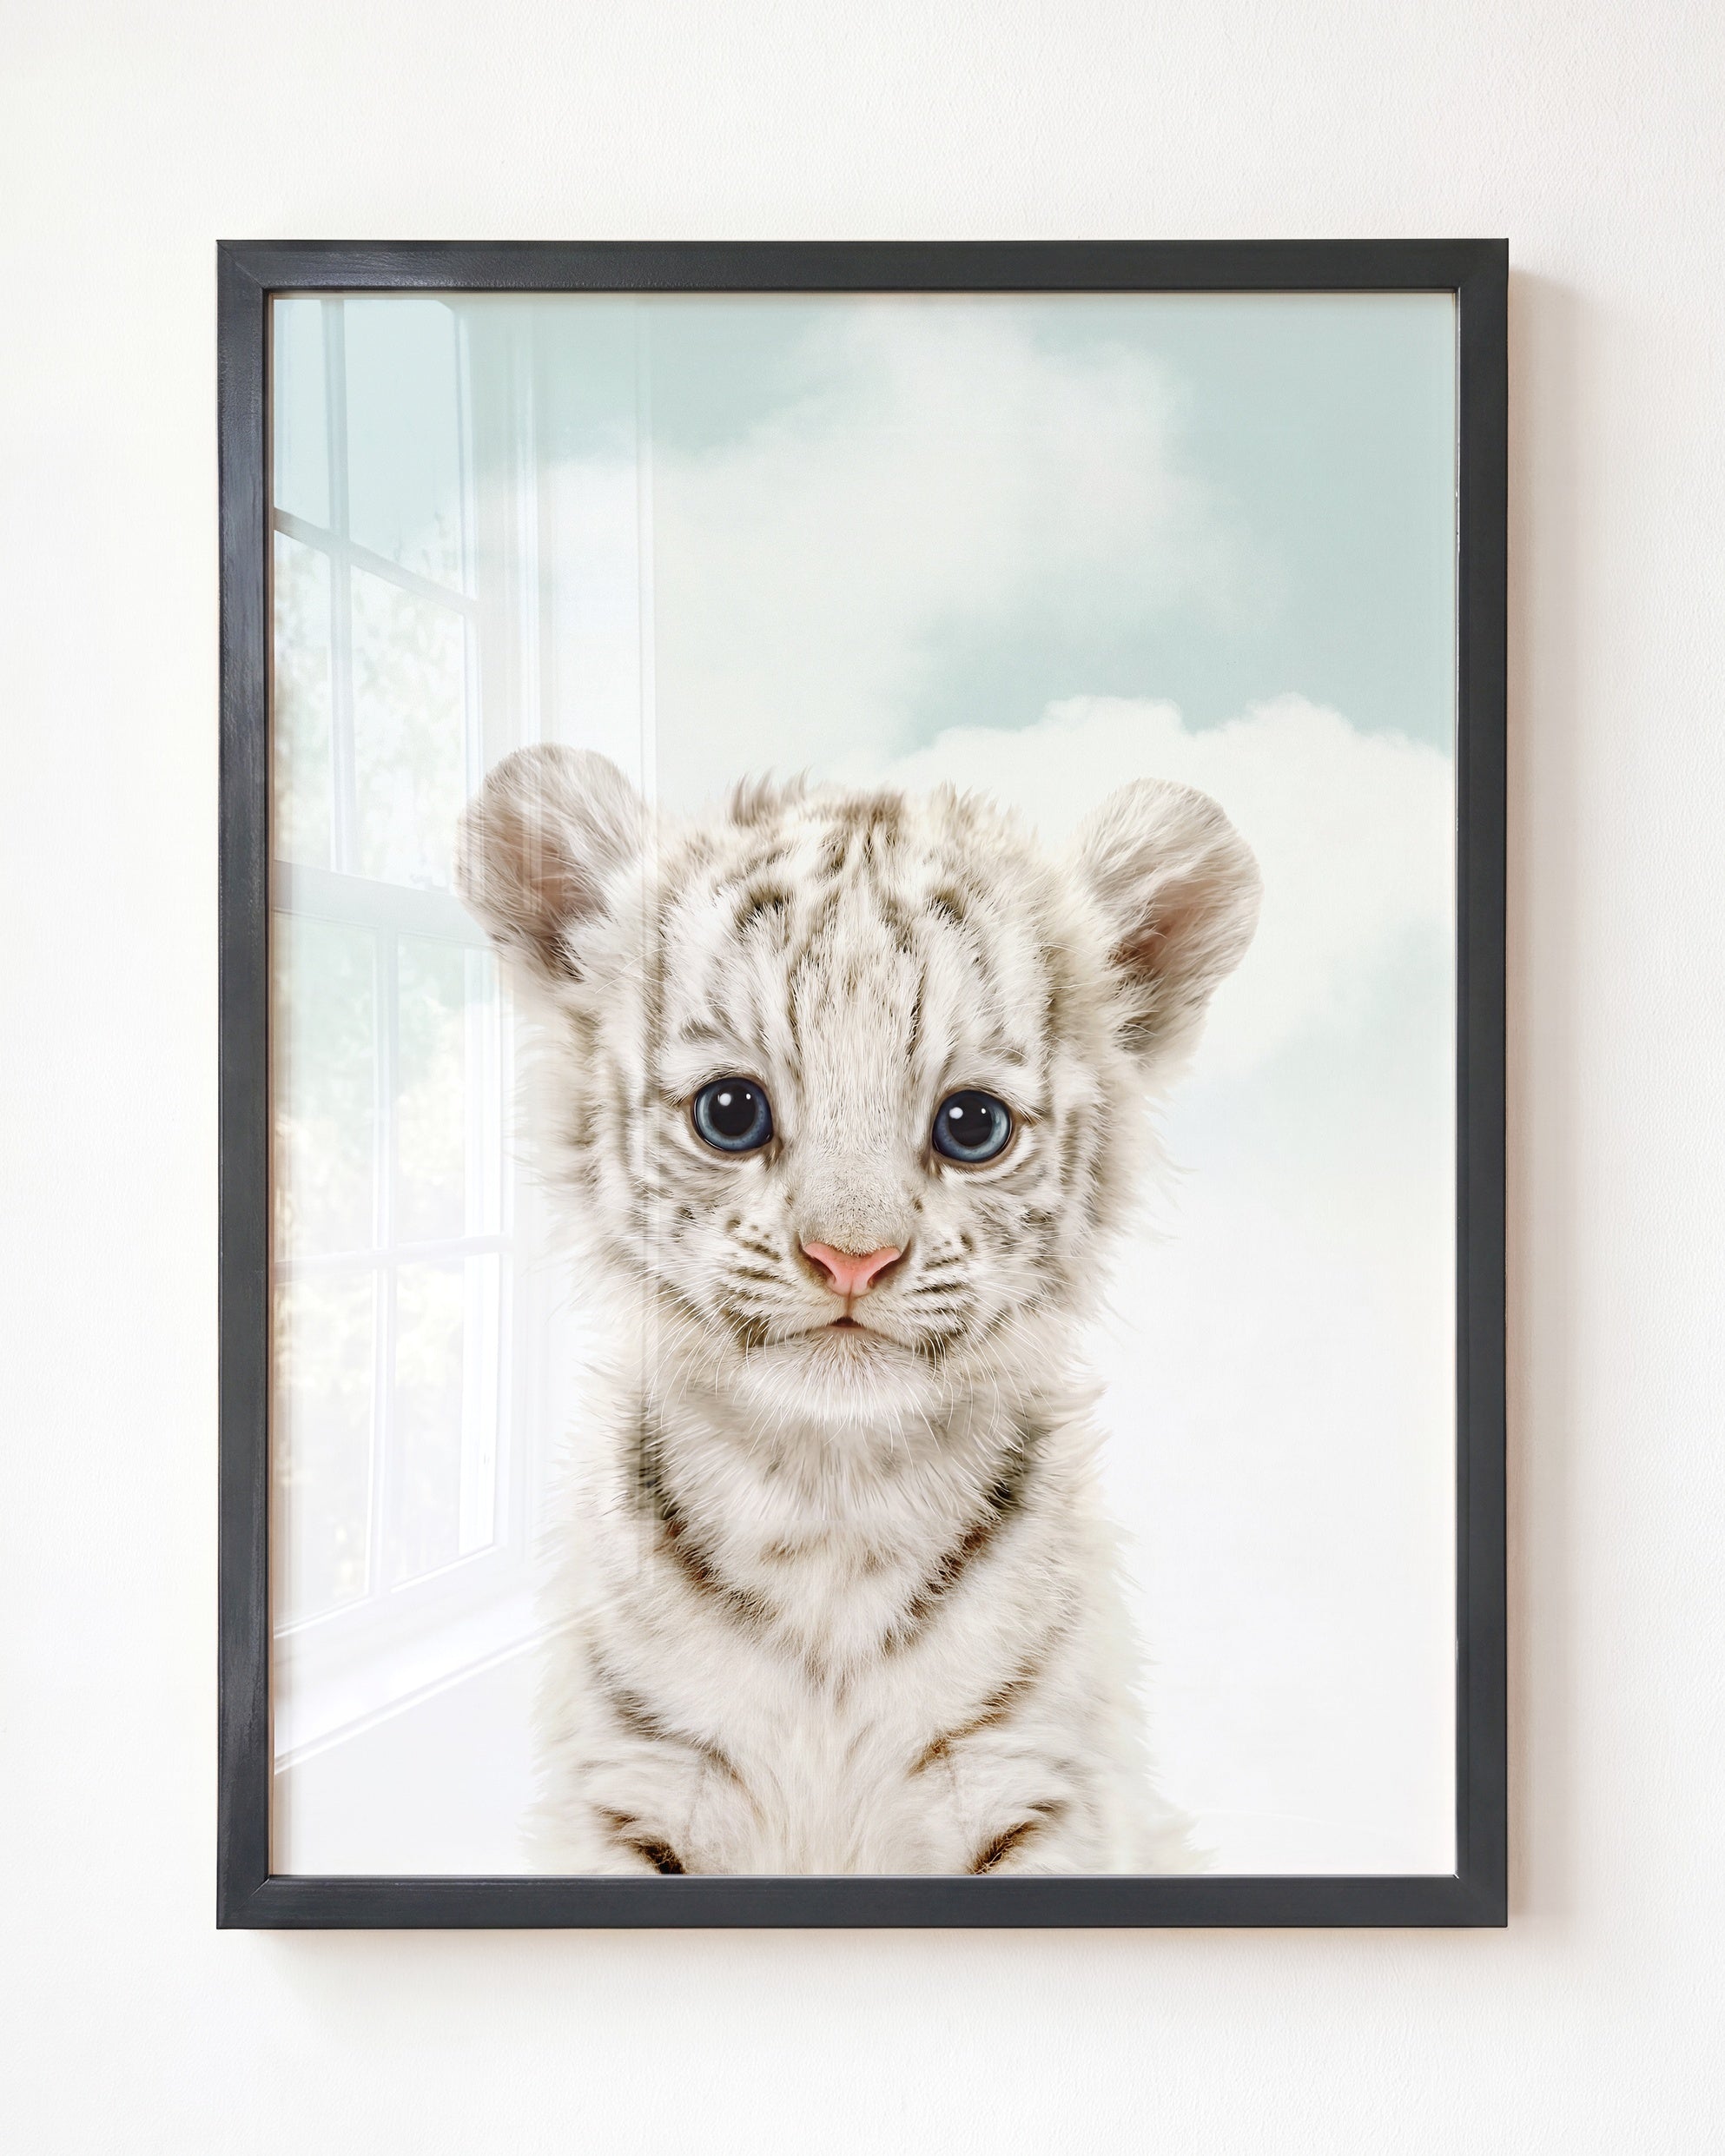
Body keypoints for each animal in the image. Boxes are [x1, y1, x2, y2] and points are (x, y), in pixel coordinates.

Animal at [457, 743, 1260, 1874]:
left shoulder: (1036, 1791)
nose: (851, 1257)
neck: (829, 1505)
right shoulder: (632, 1791)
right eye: (731, 1112)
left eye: (973, 1125)